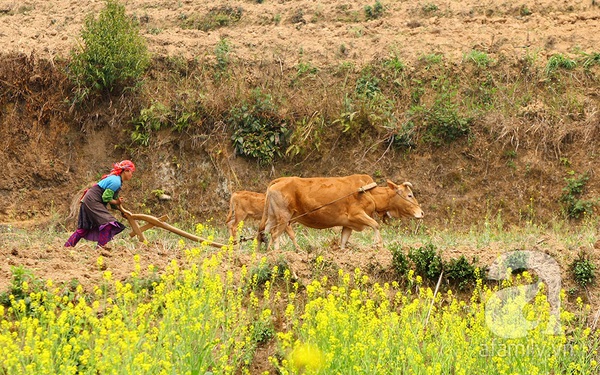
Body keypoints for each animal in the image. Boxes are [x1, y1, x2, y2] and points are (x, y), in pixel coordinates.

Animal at [256, 175, 422, 251]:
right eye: (409, 195)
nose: (421, 213)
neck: (369, 193)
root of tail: (278, 181)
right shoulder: (357, 215)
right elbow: (376, 225)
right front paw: (378, 244)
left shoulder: (348, 224)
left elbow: (343, 241)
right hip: (284, 217)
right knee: (275, 234)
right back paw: (278, 252)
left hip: (274, 217)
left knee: (265, 232)